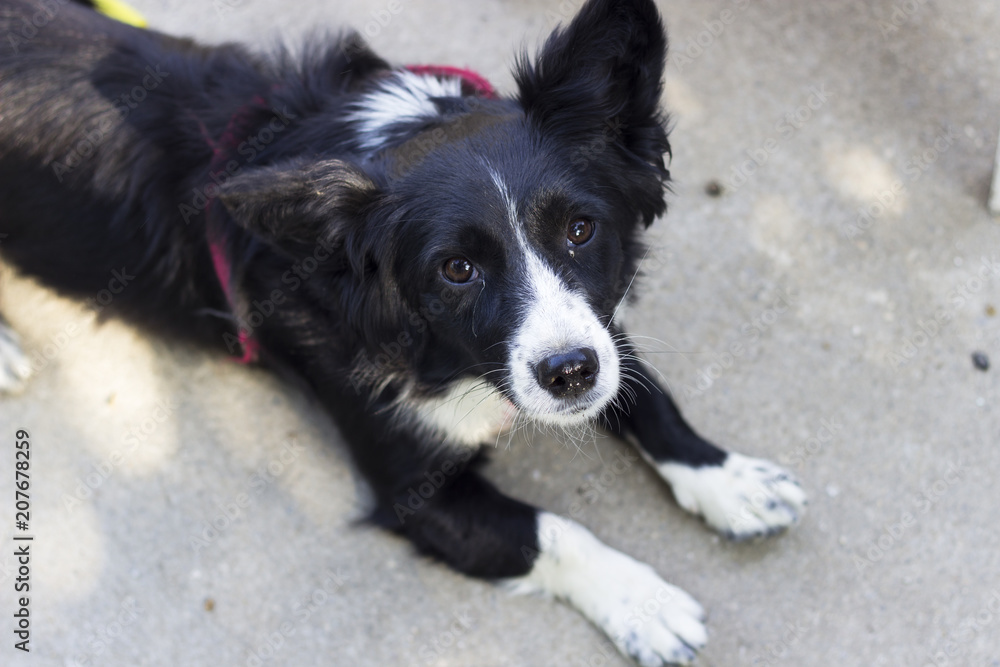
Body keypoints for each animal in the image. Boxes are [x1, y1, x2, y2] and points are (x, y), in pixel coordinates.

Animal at [0, 0, 804, 664]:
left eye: (581, 229)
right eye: (455, 270)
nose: (569, 374)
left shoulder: (593, 332)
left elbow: (647, 398)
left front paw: (728, 478)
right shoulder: (420, 493)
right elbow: (555, 531)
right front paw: (644, 601)